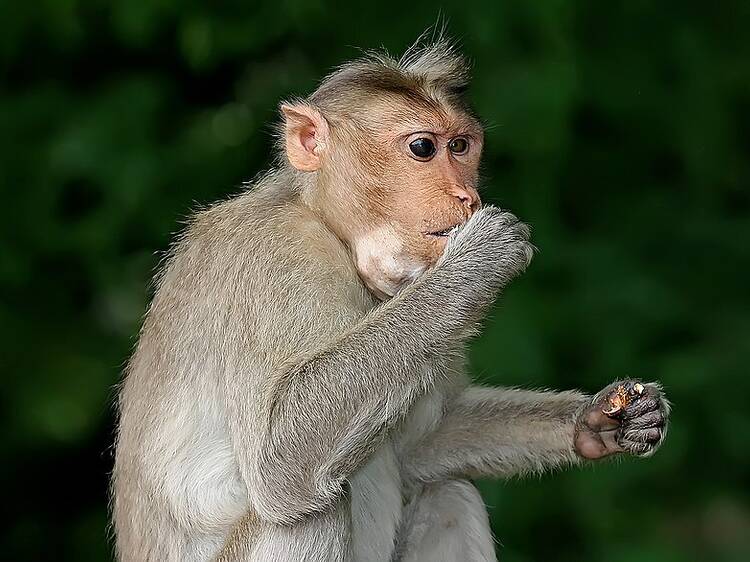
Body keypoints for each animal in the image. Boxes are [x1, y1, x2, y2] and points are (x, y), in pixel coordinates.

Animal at [114, 39, 672, 560]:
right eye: (423, 148)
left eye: (462, 146)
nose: (466, 197)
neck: (334, 232)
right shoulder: (274, 255)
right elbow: (279, 454)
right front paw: (479, 258)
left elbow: (421, 445)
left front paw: (597, 420)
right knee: (310, 510)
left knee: (450, 496)